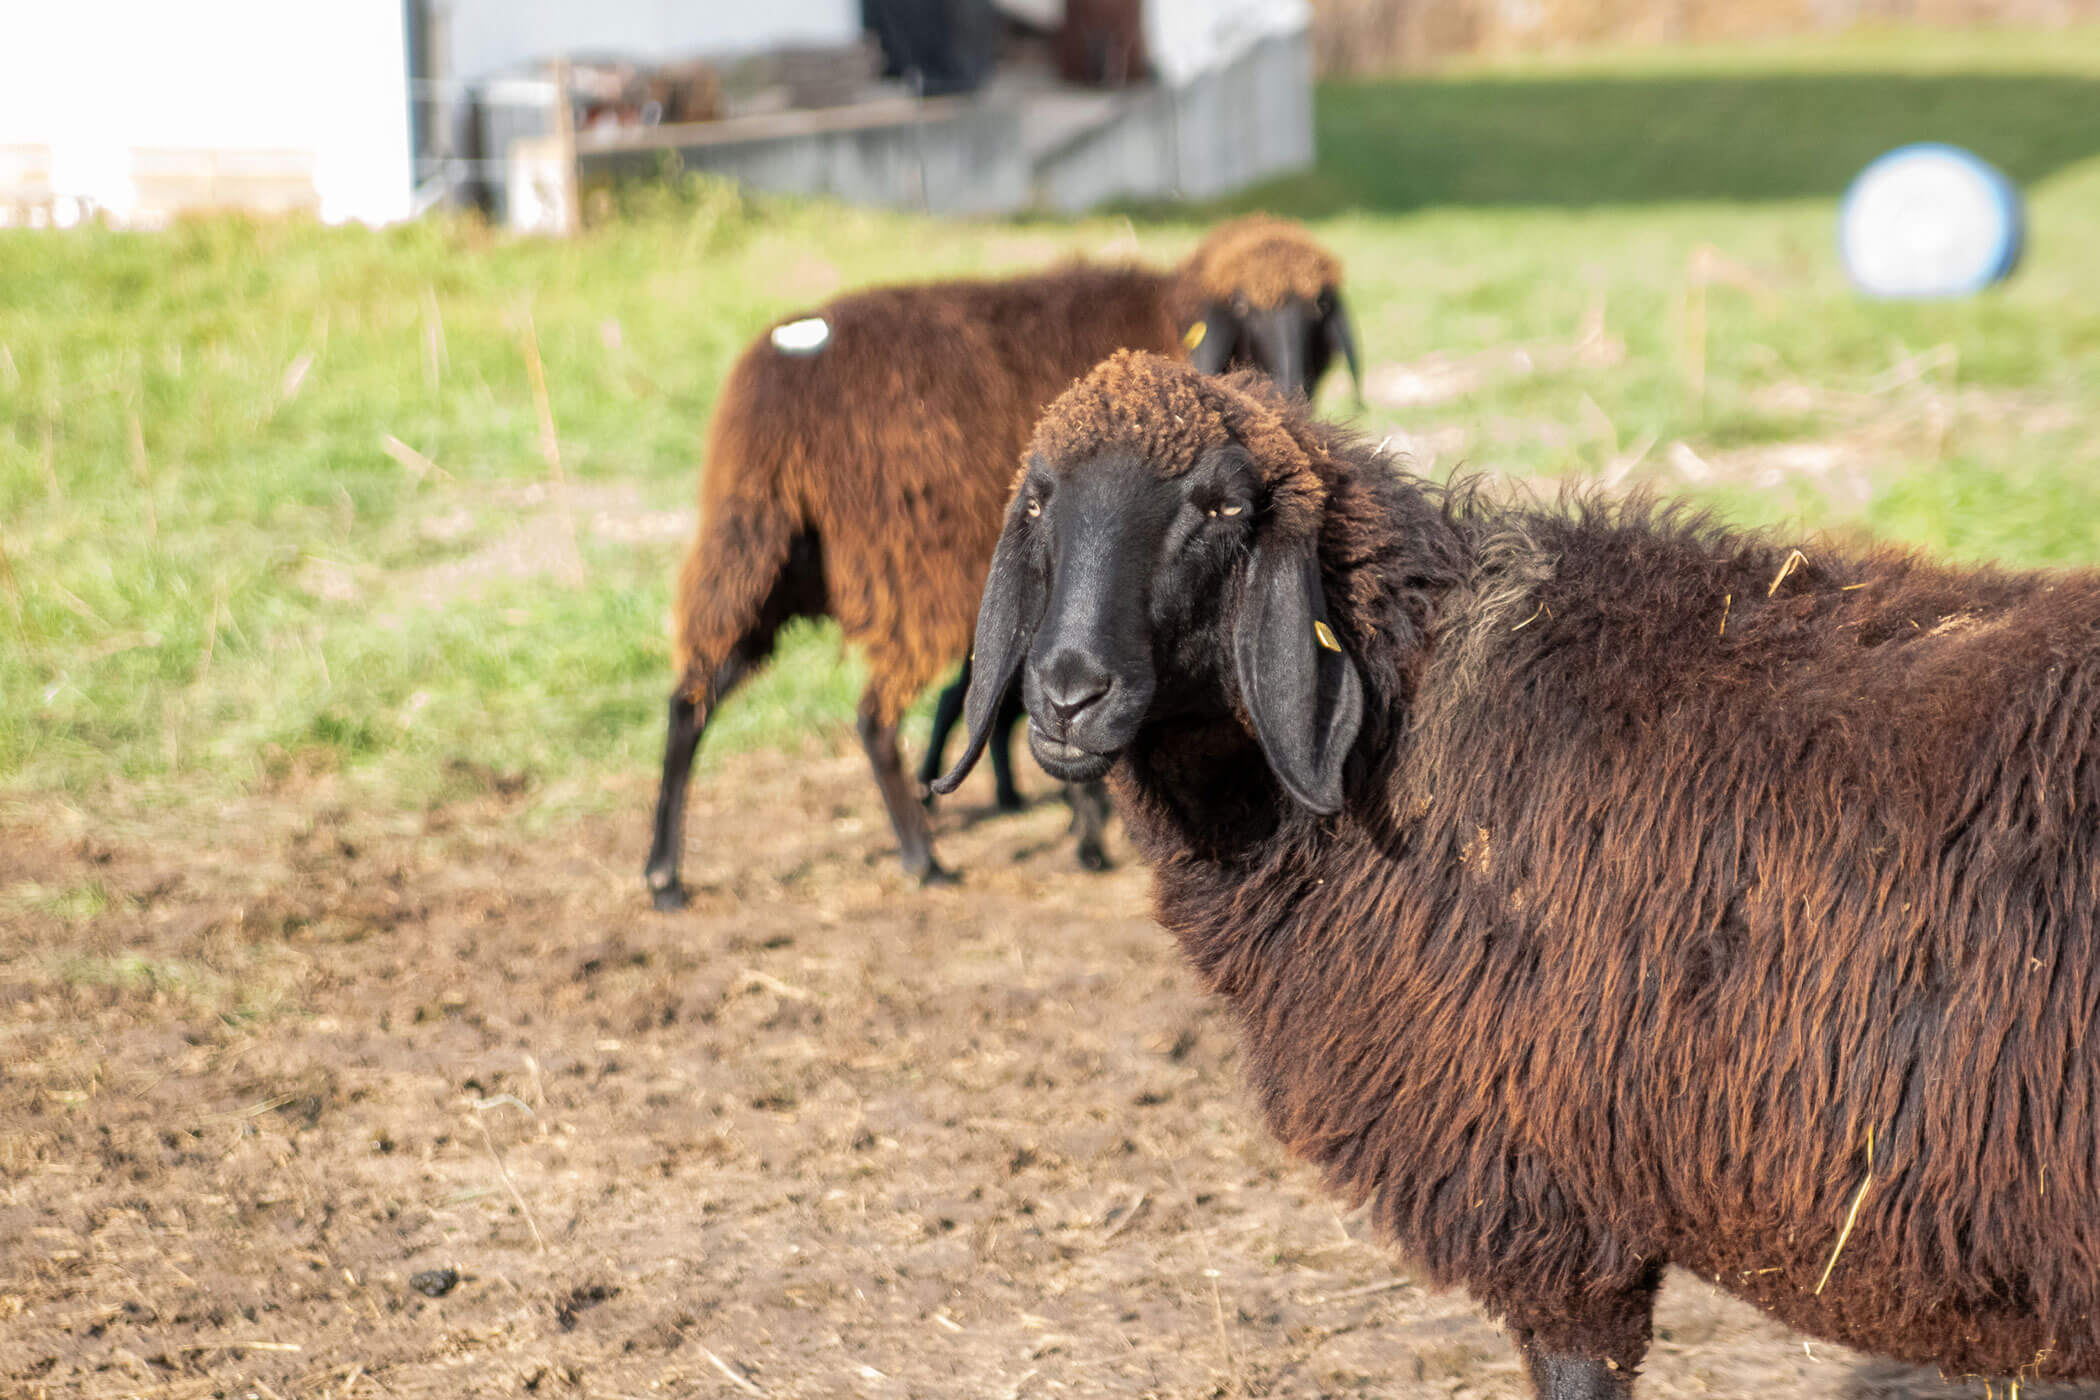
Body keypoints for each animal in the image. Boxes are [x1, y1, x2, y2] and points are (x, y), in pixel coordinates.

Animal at [644, 218, 1359, 909]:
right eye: (1241, 307)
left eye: (1320, 307)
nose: (1293, 380)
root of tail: (784, 380)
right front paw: (1086, 830)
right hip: (907, 572)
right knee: (873, 718)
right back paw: (924, 858)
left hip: (759, 547)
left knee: (692, 697)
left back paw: (664, 875)